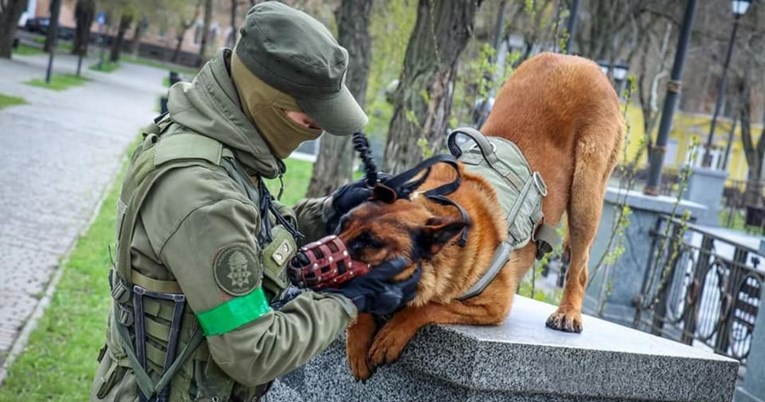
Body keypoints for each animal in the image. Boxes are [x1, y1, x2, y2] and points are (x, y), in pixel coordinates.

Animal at [338, 52, 624, 380]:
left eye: (371, 244)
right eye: (342, 224)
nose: (306, 261)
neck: (441, 206)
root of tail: (580, 60)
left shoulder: (491, 306)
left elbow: (427, 308)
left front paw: (392, 333)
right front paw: (357, 337)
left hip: (586, 193)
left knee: (580, 264)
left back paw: (568, 311)